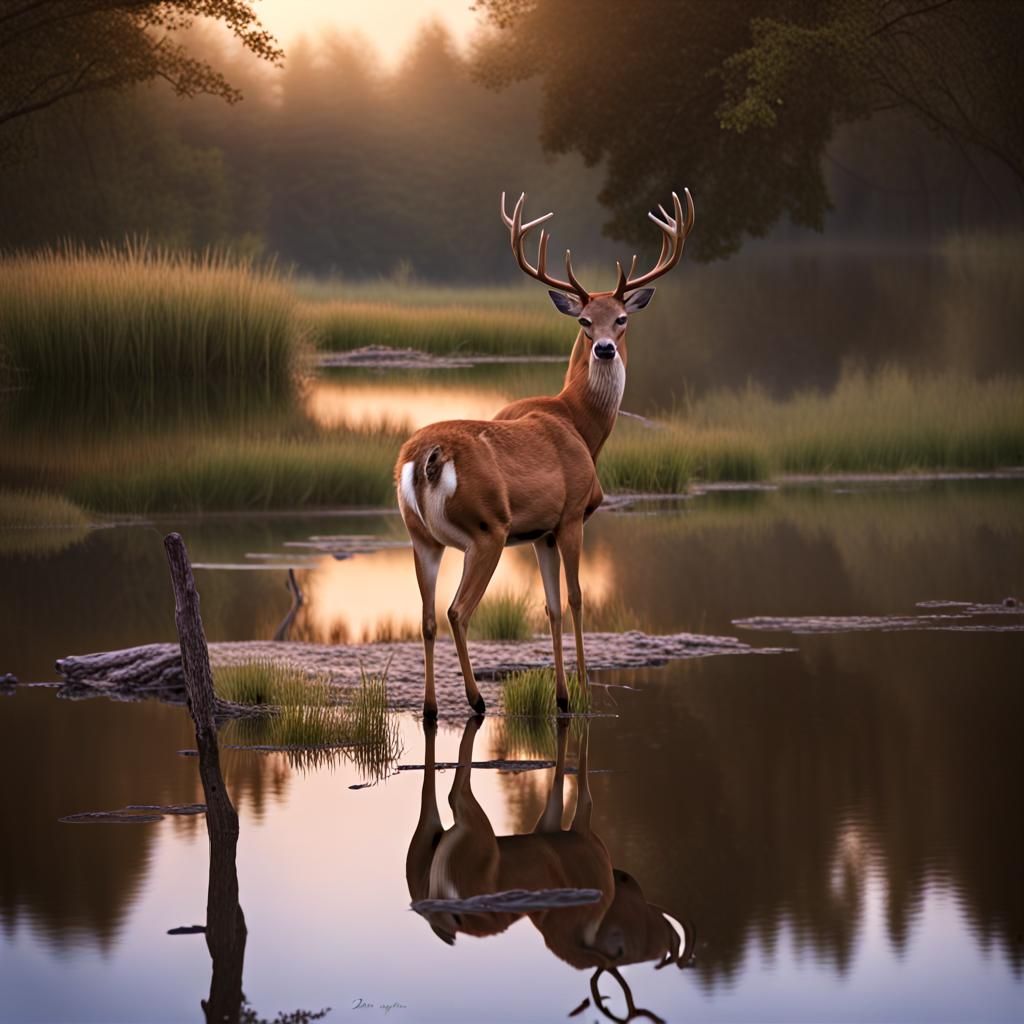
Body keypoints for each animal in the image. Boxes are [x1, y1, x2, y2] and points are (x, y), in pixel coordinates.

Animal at [395, 189, 695, 719]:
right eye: (584, 320)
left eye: (622, 319)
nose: (603, 349)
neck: (580, 423)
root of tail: (426, 456)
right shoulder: (572, 513)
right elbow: (576, 598)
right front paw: (583, 688)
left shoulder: (541, 532)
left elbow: (551, 607)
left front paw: (561, 695)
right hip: (486, 530)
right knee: (457, 610)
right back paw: (476, 700)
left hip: (422, 538)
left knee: (427, 616)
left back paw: (431, 708)